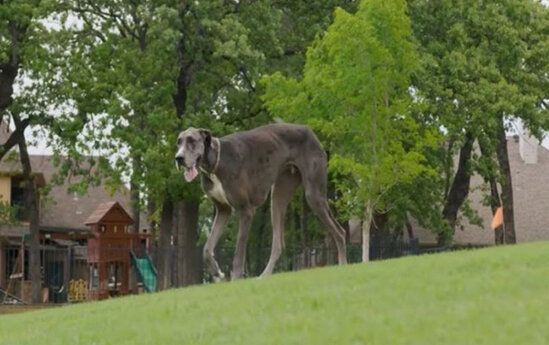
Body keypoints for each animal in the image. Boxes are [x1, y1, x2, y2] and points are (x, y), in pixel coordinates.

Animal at [176, 123, 346, 280]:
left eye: (192, 140)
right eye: (179, 142)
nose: (178, 158)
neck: (216, 163)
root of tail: (310, 131)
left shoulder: (246, 210)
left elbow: (238, 254)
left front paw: (235, 279)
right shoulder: (223, 210)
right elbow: (206, 249)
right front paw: (217, 272)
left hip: (313, 195)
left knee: (340, 232)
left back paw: (343, 265)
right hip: (278, 195)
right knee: (278, 244)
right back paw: (264, 276)